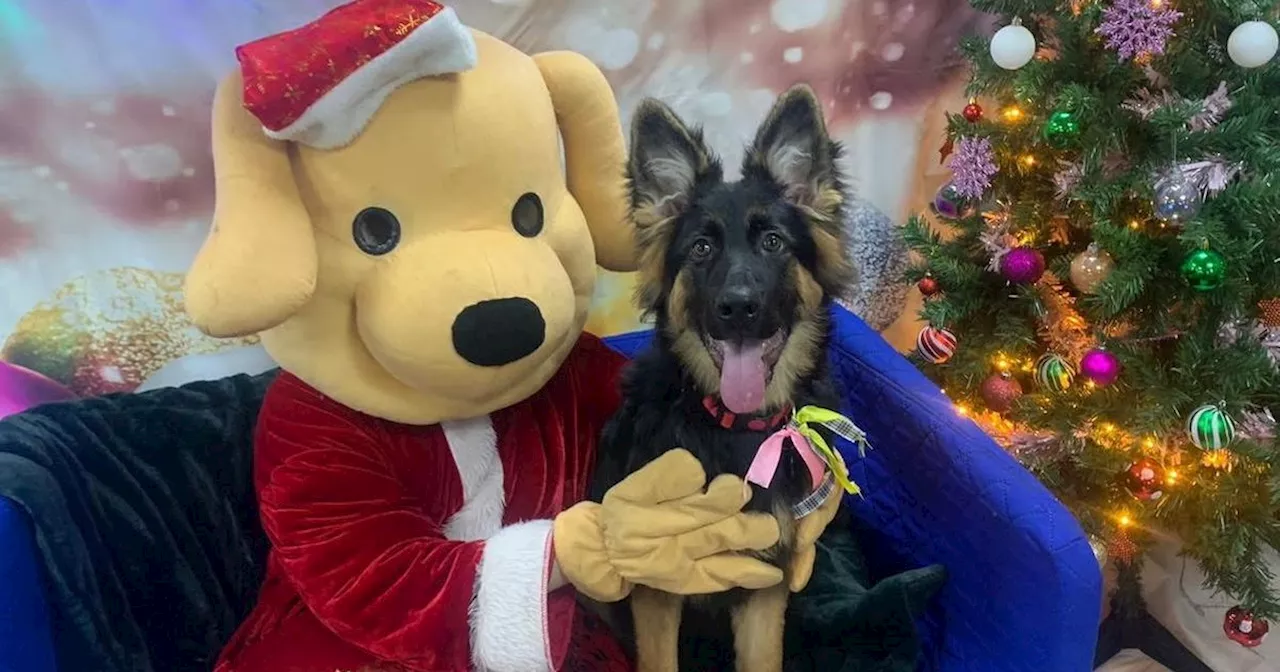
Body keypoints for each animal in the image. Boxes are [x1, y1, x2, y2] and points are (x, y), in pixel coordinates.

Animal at [586, 85, 849, 670]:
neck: (733, 428)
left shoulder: (765, 580)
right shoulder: (657, 583)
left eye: (773, 242)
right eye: (701, 248)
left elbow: (762, 657)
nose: (739, 308)